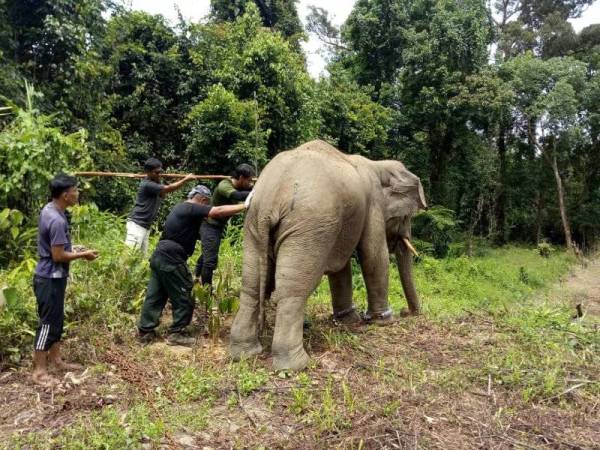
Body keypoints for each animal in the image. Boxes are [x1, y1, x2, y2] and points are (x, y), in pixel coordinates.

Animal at [230, 140, 426, 370]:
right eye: (407, 216)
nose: (406, 312)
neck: (377, 164)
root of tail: (272, 198)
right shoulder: (374, 204)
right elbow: (374, 257)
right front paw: (382, 321)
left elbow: (341, 267)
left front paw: (348, 320)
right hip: (308, 227)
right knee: (293, 291)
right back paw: (295, 364)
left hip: (253, 223)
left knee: (251, 285)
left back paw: (243, 353)